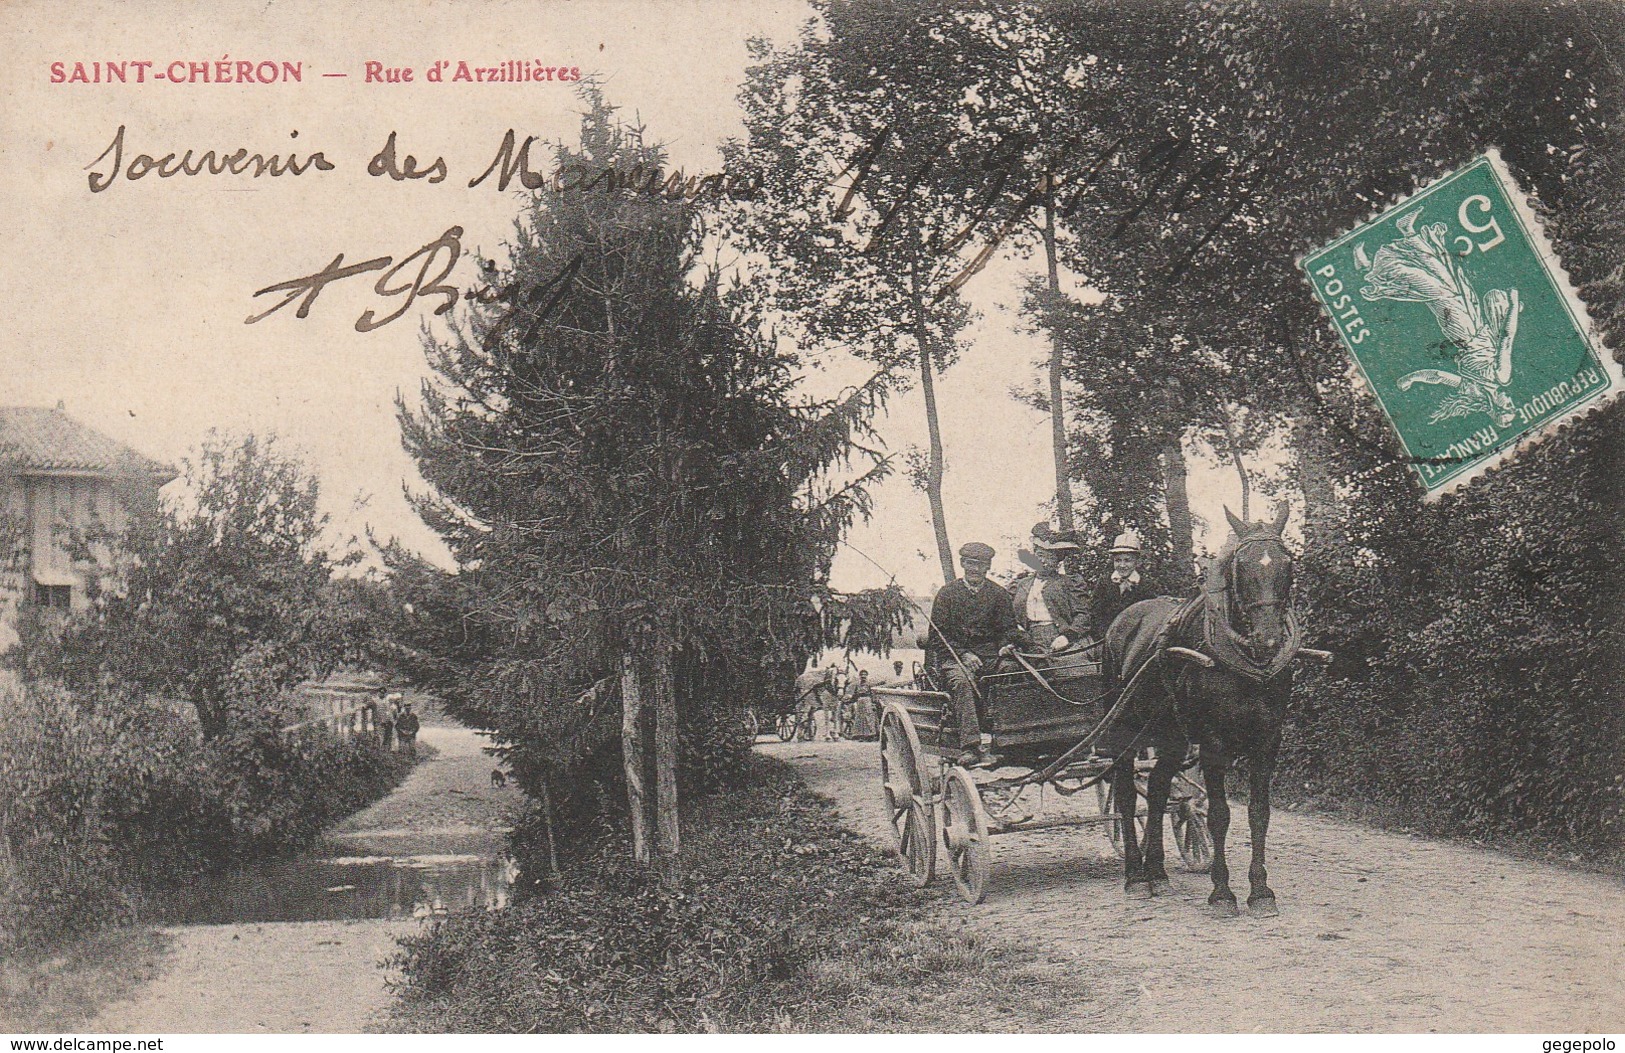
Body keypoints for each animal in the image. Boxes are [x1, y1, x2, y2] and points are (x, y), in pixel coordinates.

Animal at [1105, 507, 1293, 916]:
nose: (1269, 640)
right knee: (1126, 794)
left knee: (1158, 790)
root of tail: (1123, 618)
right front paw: (1222, 892)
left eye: (1289, 564)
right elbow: (1220, 815)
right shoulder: (1212, 743)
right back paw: (1135, 876)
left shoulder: (1268, 741)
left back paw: (1157, 872)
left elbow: (1259, 813)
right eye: (1240, 567)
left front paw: (1261, 891)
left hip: (1171, 735)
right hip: (1123, 728)